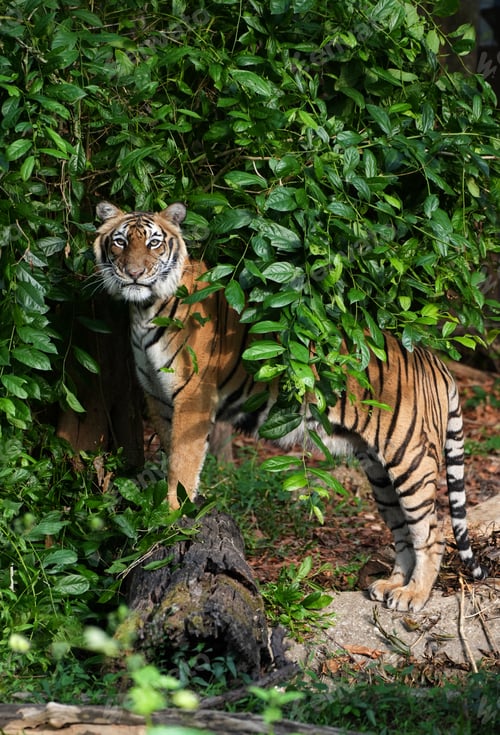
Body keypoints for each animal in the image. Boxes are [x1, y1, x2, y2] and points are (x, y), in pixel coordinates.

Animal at [93, 201, 487, 612]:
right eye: (120, 241)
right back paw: (391, 585)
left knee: (432, 530)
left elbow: (182, 466)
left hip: (410, 458)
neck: (144, 310)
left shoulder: (192, 399)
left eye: (154, 242)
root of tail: (434, 360)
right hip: (381, 471)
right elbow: (171, 456)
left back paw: (414, 595)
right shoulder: (158, 400)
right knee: (404, 531)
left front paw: (171, 517)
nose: (134, 273)